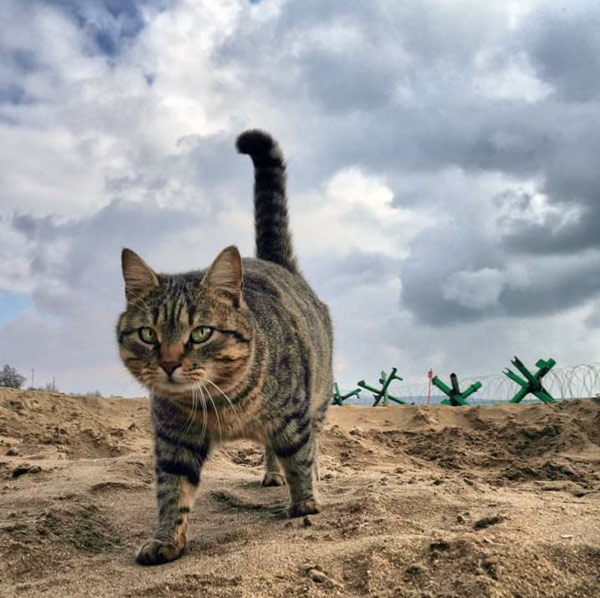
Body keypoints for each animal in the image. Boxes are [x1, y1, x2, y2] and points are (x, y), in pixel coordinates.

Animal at [116, 130, 332, 568]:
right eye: (148, 334)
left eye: (200, 333)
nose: (168, 364)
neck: (221, 404)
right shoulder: (174, 439)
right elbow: (171, 490)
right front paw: (166, 538)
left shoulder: (294, 415)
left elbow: (301, 455)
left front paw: (305, 501)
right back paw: (272, 474)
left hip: (317, 400)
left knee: (305, 443)